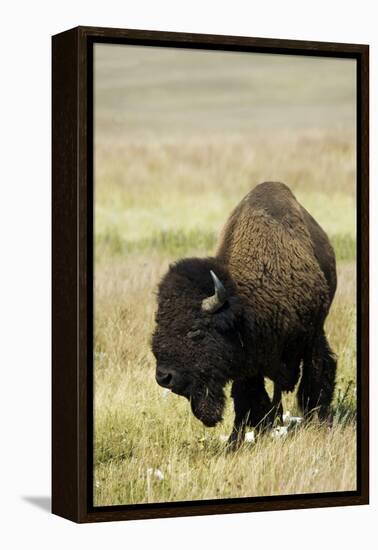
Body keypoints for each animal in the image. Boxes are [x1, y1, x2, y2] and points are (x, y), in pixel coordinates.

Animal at [151, 183, 336, 450]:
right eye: (158, 324)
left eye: (195, 330)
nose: (164, 377)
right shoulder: (248, 362)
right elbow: (248, 399)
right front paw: (236, 441)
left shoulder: (312, 337)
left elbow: (316, 377)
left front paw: (319, 423)